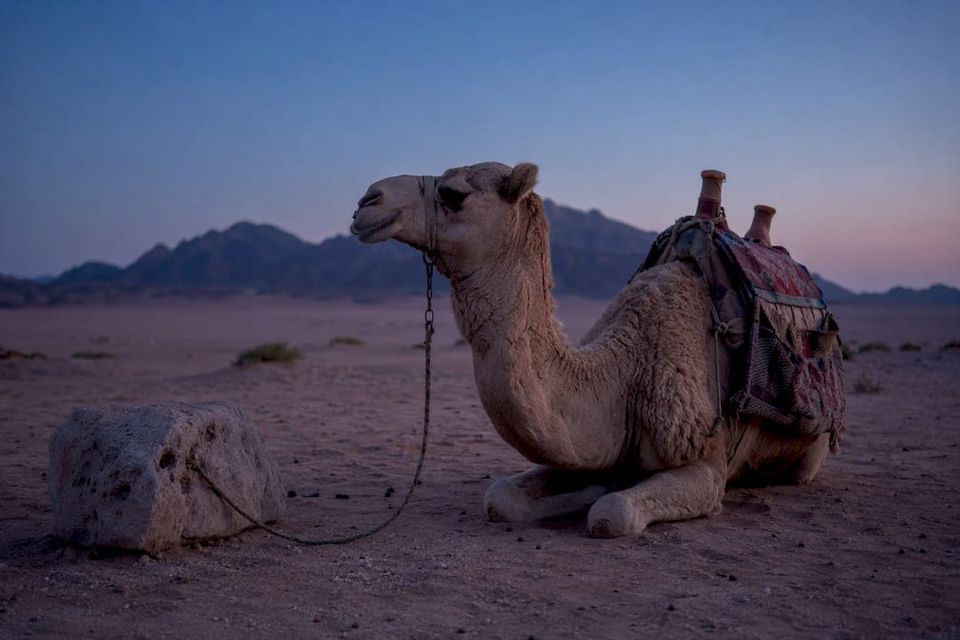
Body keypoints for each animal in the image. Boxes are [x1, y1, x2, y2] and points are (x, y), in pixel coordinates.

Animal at [350, 162, 838, 538]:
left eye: (453, 193)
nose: (367, 201)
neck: (622, 375)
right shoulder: (585, 447)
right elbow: (499, 497)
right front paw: (591, 487)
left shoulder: (707, 463)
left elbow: (611, 512)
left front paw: (600, 494)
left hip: (810, 452)